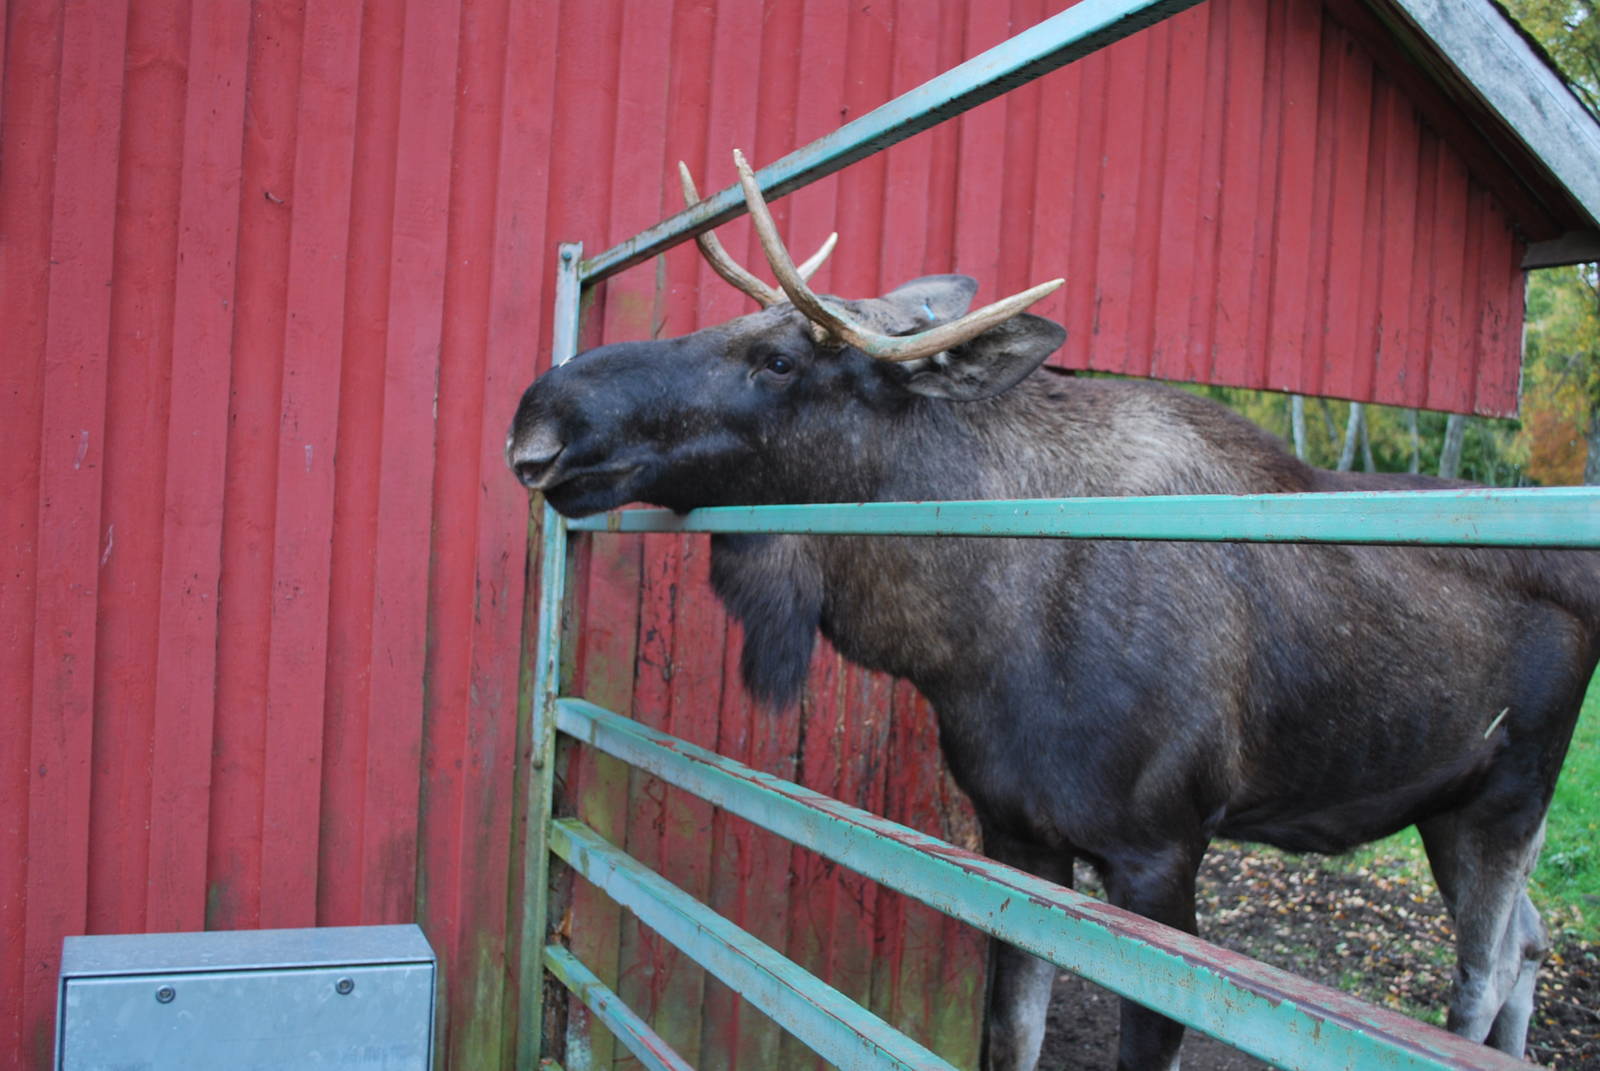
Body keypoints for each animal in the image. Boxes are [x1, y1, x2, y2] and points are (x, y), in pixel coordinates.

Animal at [507, 151, 1600, 1070]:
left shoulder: (1159, 853)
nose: (539, 413)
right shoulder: (1017, 835)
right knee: (1531, 943)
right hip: (1454, 801)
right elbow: (1010, 1033)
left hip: (1511, 789)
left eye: (781, 359)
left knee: (1481, 976)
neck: (966, 639)